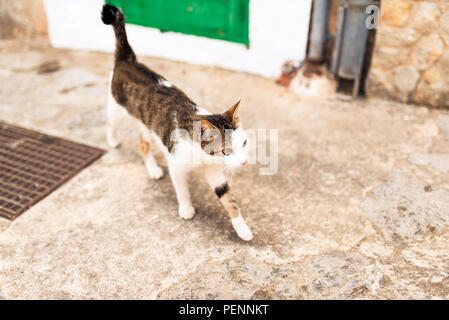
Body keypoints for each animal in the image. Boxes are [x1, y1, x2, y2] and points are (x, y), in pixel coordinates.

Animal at [102, 5, 254, 240]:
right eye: (227, 151)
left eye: (244, 143)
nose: (245, 162)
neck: (202, 157)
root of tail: (127, 60)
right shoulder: (177, 164)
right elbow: (181, 189)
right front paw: (186, 208)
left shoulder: (214, 171)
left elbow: (227, 197)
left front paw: (242, 227)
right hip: (117, 107)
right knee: (110, 122)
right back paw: (113, 140)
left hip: (149, 126)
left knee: (143, 143)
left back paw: (152, 168)